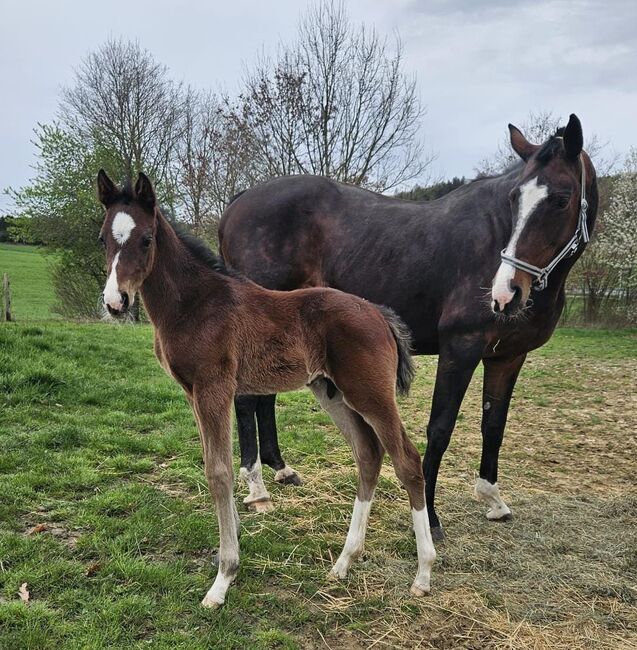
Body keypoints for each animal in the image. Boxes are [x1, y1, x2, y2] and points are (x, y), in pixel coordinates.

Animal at [98, 170, 438, 604]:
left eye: (146, 239)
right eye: (103, 239)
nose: (116, 302)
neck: (195, 303)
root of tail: (378, 313)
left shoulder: (214, 389)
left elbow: (219, 472)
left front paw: (224, 576)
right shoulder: (193, 394)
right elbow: (213, 465)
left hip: (371, 394)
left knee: (407, 460)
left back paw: (423, 573)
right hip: (332, 392)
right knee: (368, 454)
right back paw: (344, 562)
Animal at [219, 114, 596, 540]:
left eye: (561, 199)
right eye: (515, 198)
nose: (504, 294)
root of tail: (239, 201)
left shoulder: (508, 357)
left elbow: (494, 425)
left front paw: (493, 500)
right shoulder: (460, 348)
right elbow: (440, 429)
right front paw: (429, 517)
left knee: (264, 397)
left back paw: (281, 470)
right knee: (247, 400)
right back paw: (257, 488)